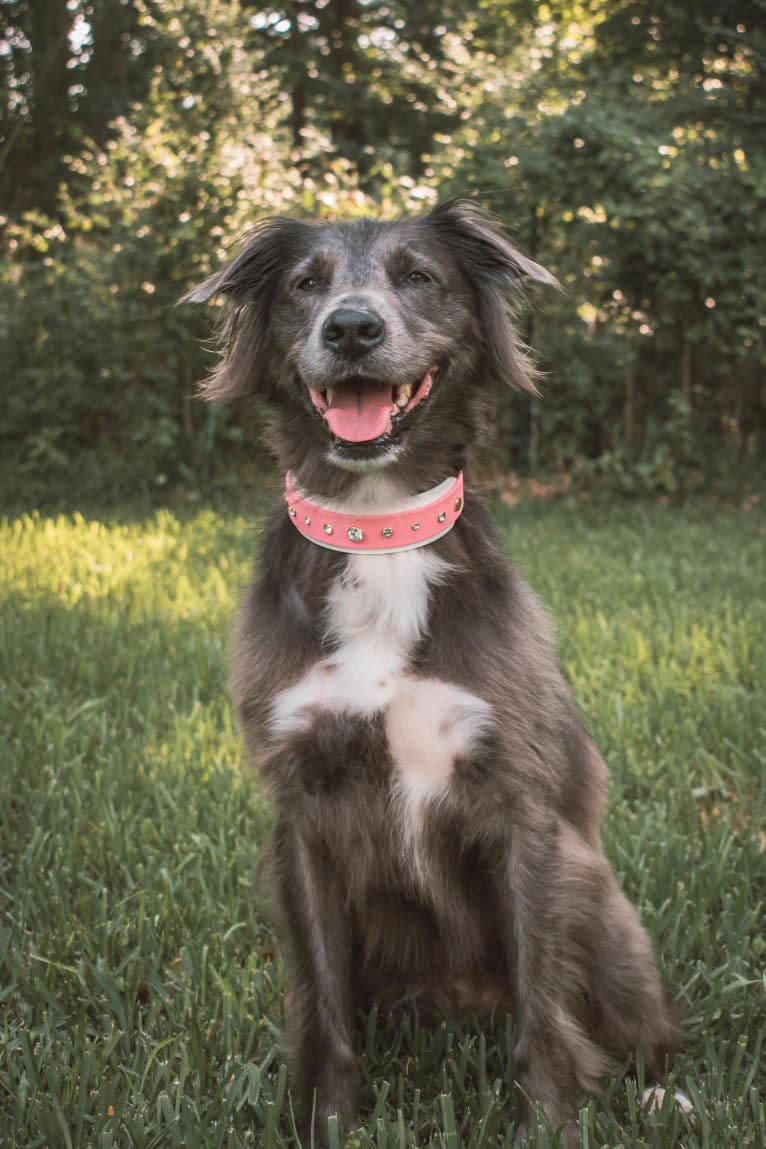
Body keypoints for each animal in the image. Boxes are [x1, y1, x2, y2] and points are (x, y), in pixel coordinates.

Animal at [187, 202, 675, 1144]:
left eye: (419, 277)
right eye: (305, 283)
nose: (351, 328)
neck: (379, 534)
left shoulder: (520, 806)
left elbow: (543, 1008)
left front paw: (546, 1122)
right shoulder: (302, 811)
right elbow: (324, 1010)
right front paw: (328, 1121)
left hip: (600, 901)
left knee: (638, 1018)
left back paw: (667, 1090)